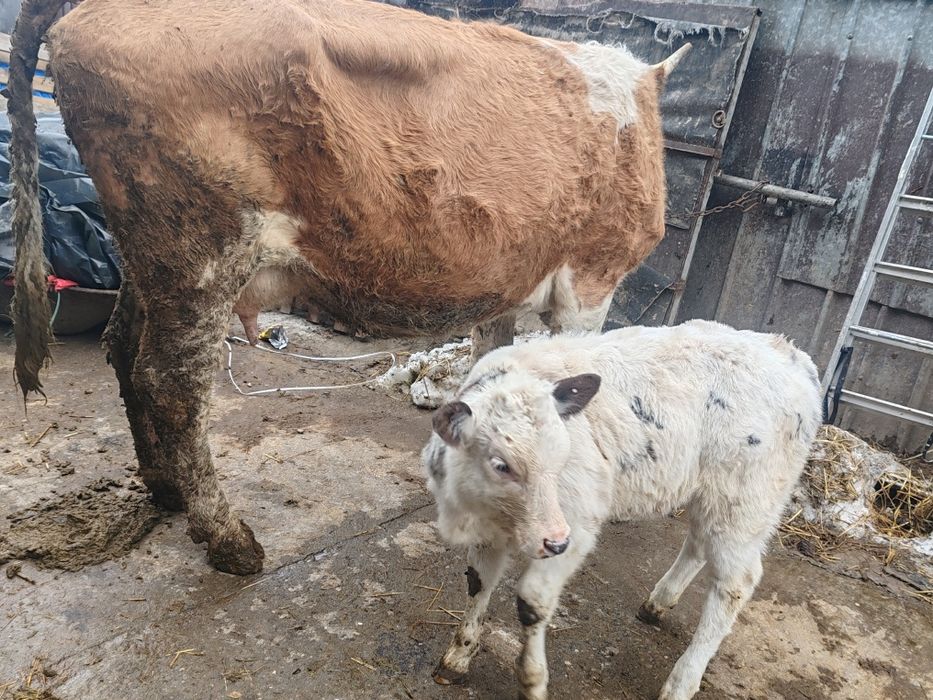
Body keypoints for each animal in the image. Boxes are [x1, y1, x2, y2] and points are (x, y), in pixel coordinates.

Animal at [9, 0, 689, 574]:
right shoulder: (591, 280)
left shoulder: (505, 291)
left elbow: (494, 374)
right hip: (200, 247)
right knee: (172, 381)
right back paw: (227, 538)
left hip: (149, 255)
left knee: (124, 347)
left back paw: (165, 486)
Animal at [423, 320, 821, 700]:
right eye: (501, 465)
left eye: (563, 455)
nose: (554, 542)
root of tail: (790, 353)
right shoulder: (489, 531)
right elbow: (478, 583)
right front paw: (457, 657)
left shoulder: (578, 524)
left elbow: (532, 602)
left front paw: (533, 682)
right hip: (706, 490)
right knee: (698, 542)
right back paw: (658, 602)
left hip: (745, 499)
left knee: (736, 583)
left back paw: (681, 683)